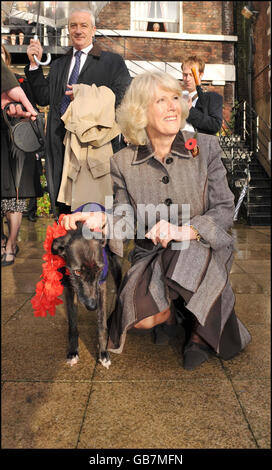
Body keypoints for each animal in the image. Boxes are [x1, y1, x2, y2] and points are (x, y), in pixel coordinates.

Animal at [51, 218, 121, 370]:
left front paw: (103, 353)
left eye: (99, 269)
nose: (92, 306)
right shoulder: (70, 288)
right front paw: (73, 352)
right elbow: (73, 324)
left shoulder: (101, 287)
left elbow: (102, 325)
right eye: (77, 272)